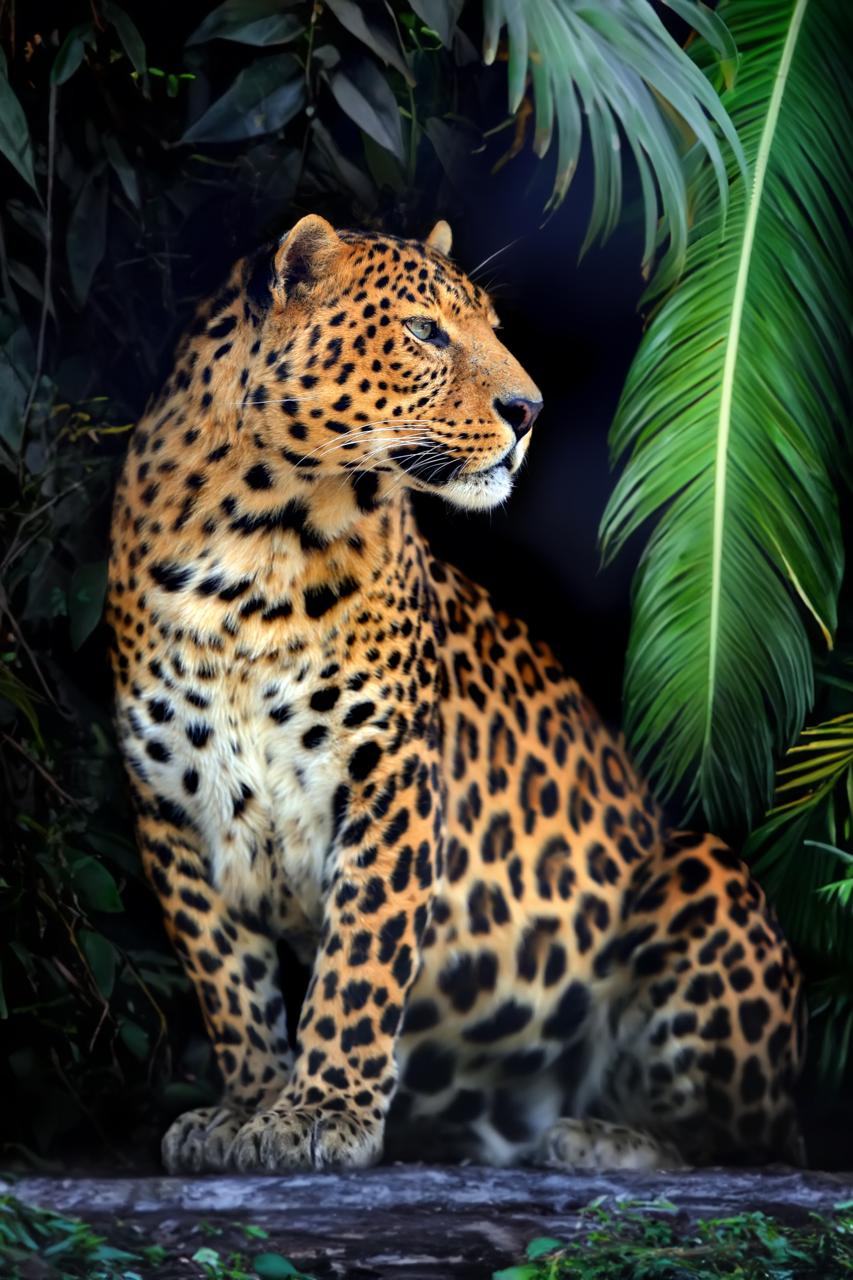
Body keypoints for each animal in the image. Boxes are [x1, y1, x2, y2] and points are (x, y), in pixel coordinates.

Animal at [107, 214, 806, 1176]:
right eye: (423, 331)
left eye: (491, 327)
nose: (529, 411)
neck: (254, 545)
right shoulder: (169, 807)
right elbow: (228, 982)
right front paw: (247, 1108)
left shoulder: (389, 776)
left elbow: (359, 964)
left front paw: (321, 1113)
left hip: (702, 869)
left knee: (750, 1142)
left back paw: (603, 1138)